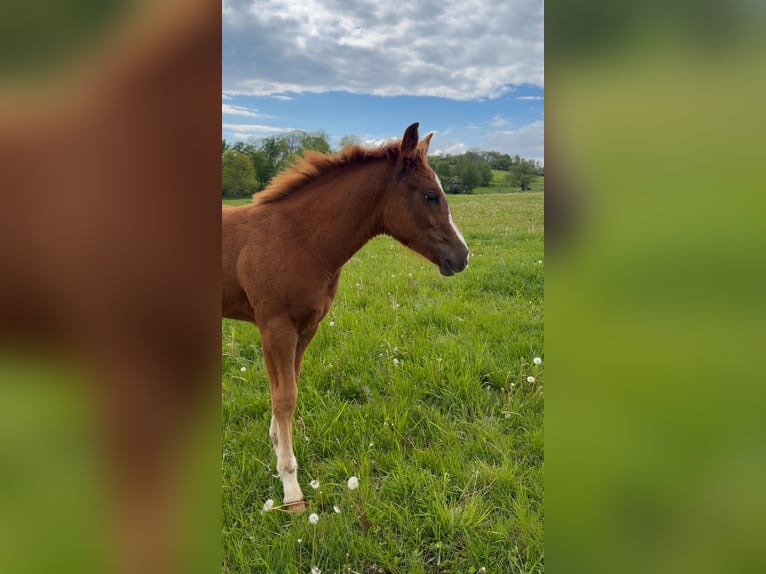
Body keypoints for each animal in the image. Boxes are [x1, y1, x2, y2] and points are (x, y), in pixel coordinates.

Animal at [222, 123, 470, 510]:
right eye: (431, 196)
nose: (463, 256)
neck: (298, 239)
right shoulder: (276, 328)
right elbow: (284, 398)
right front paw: (291, 488)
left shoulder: (305, 328)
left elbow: (287, 388)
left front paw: (277, 448)